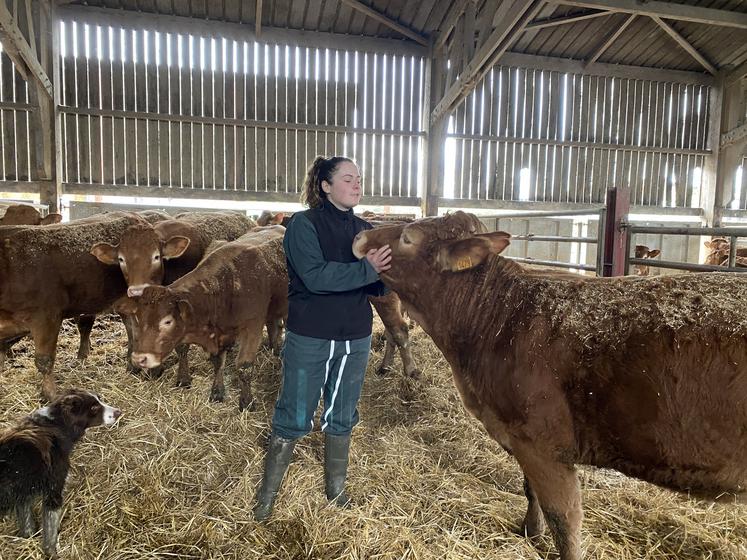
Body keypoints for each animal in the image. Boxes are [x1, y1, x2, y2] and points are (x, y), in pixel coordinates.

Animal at [0, 390, 120, 556]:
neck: (55, 425)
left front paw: (28, 537)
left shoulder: (24, 494)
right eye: (94, 408)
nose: (118, 412)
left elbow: (26, 522)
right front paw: (52, 553)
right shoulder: (54, 491)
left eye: (99, 400)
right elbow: (50, 531)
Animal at [115, 228, 288, 412]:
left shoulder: (252, 327)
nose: (139, 359)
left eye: (168, 321)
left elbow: (244, 367)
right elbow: (218, 362)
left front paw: (246, 403)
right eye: (138, 319)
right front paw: (217, 392)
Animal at [354, 212, 747, 560]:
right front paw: (530, 530)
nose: (359, 236)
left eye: (408, 237)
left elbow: (564, 519)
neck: (499, 318)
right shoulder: (519, 436)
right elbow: (531, 490)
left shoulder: (545, 443)